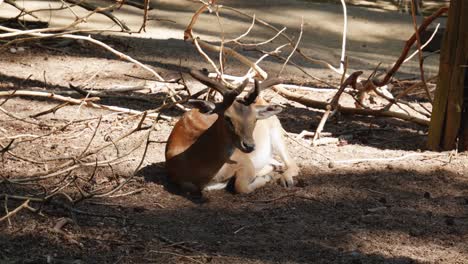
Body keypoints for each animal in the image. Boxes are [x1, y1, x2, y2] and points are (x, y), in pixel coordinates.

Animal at [165, 70, 300, 194]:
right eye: (227, 117)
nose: (249, 146)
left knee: (292, 164)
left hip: (276, 130)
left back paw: (285, 179)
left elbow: (241, 187)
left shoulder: (245, 161)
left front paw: (266, 178)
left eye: (255, 119)